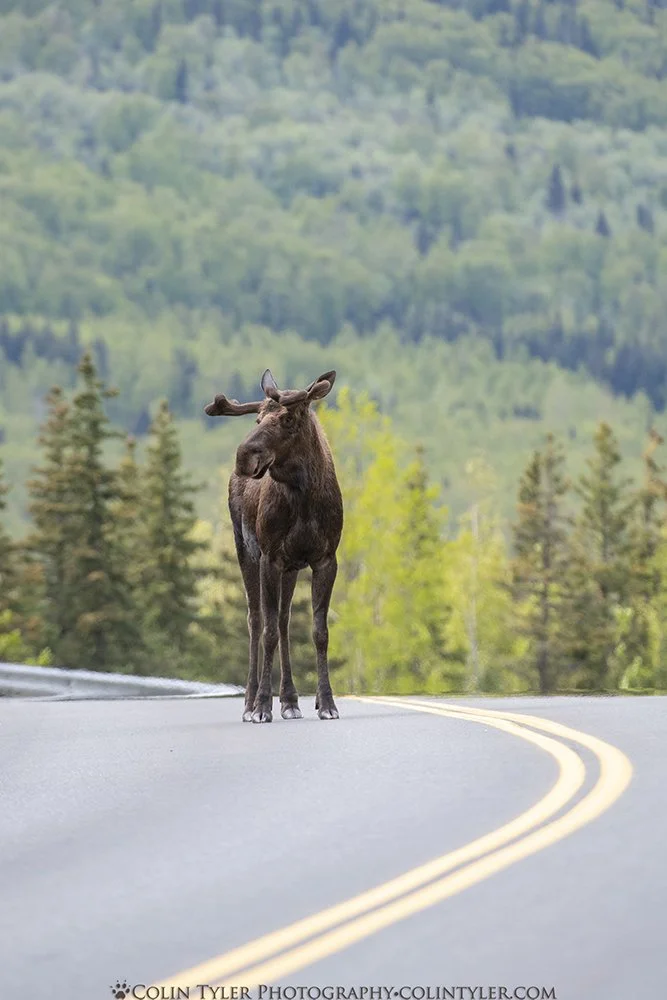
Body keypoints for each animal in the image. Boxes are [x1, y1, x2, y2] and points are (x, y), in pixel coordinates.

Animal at [204, 369, 343, 723]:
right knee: (256, 619)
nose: (243, 456)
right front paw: (262, 706)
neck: (304, 497)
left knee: (282, 620)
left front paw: (327, 702)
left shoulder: (325, 558)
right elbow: (266, 632)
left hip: (291, 567)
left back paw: (291, 700)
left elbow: (319, 632)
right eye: (258, 418)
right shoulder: (269, 556)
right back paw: (250, 701)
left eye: (289, 418)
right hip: (244, 550)